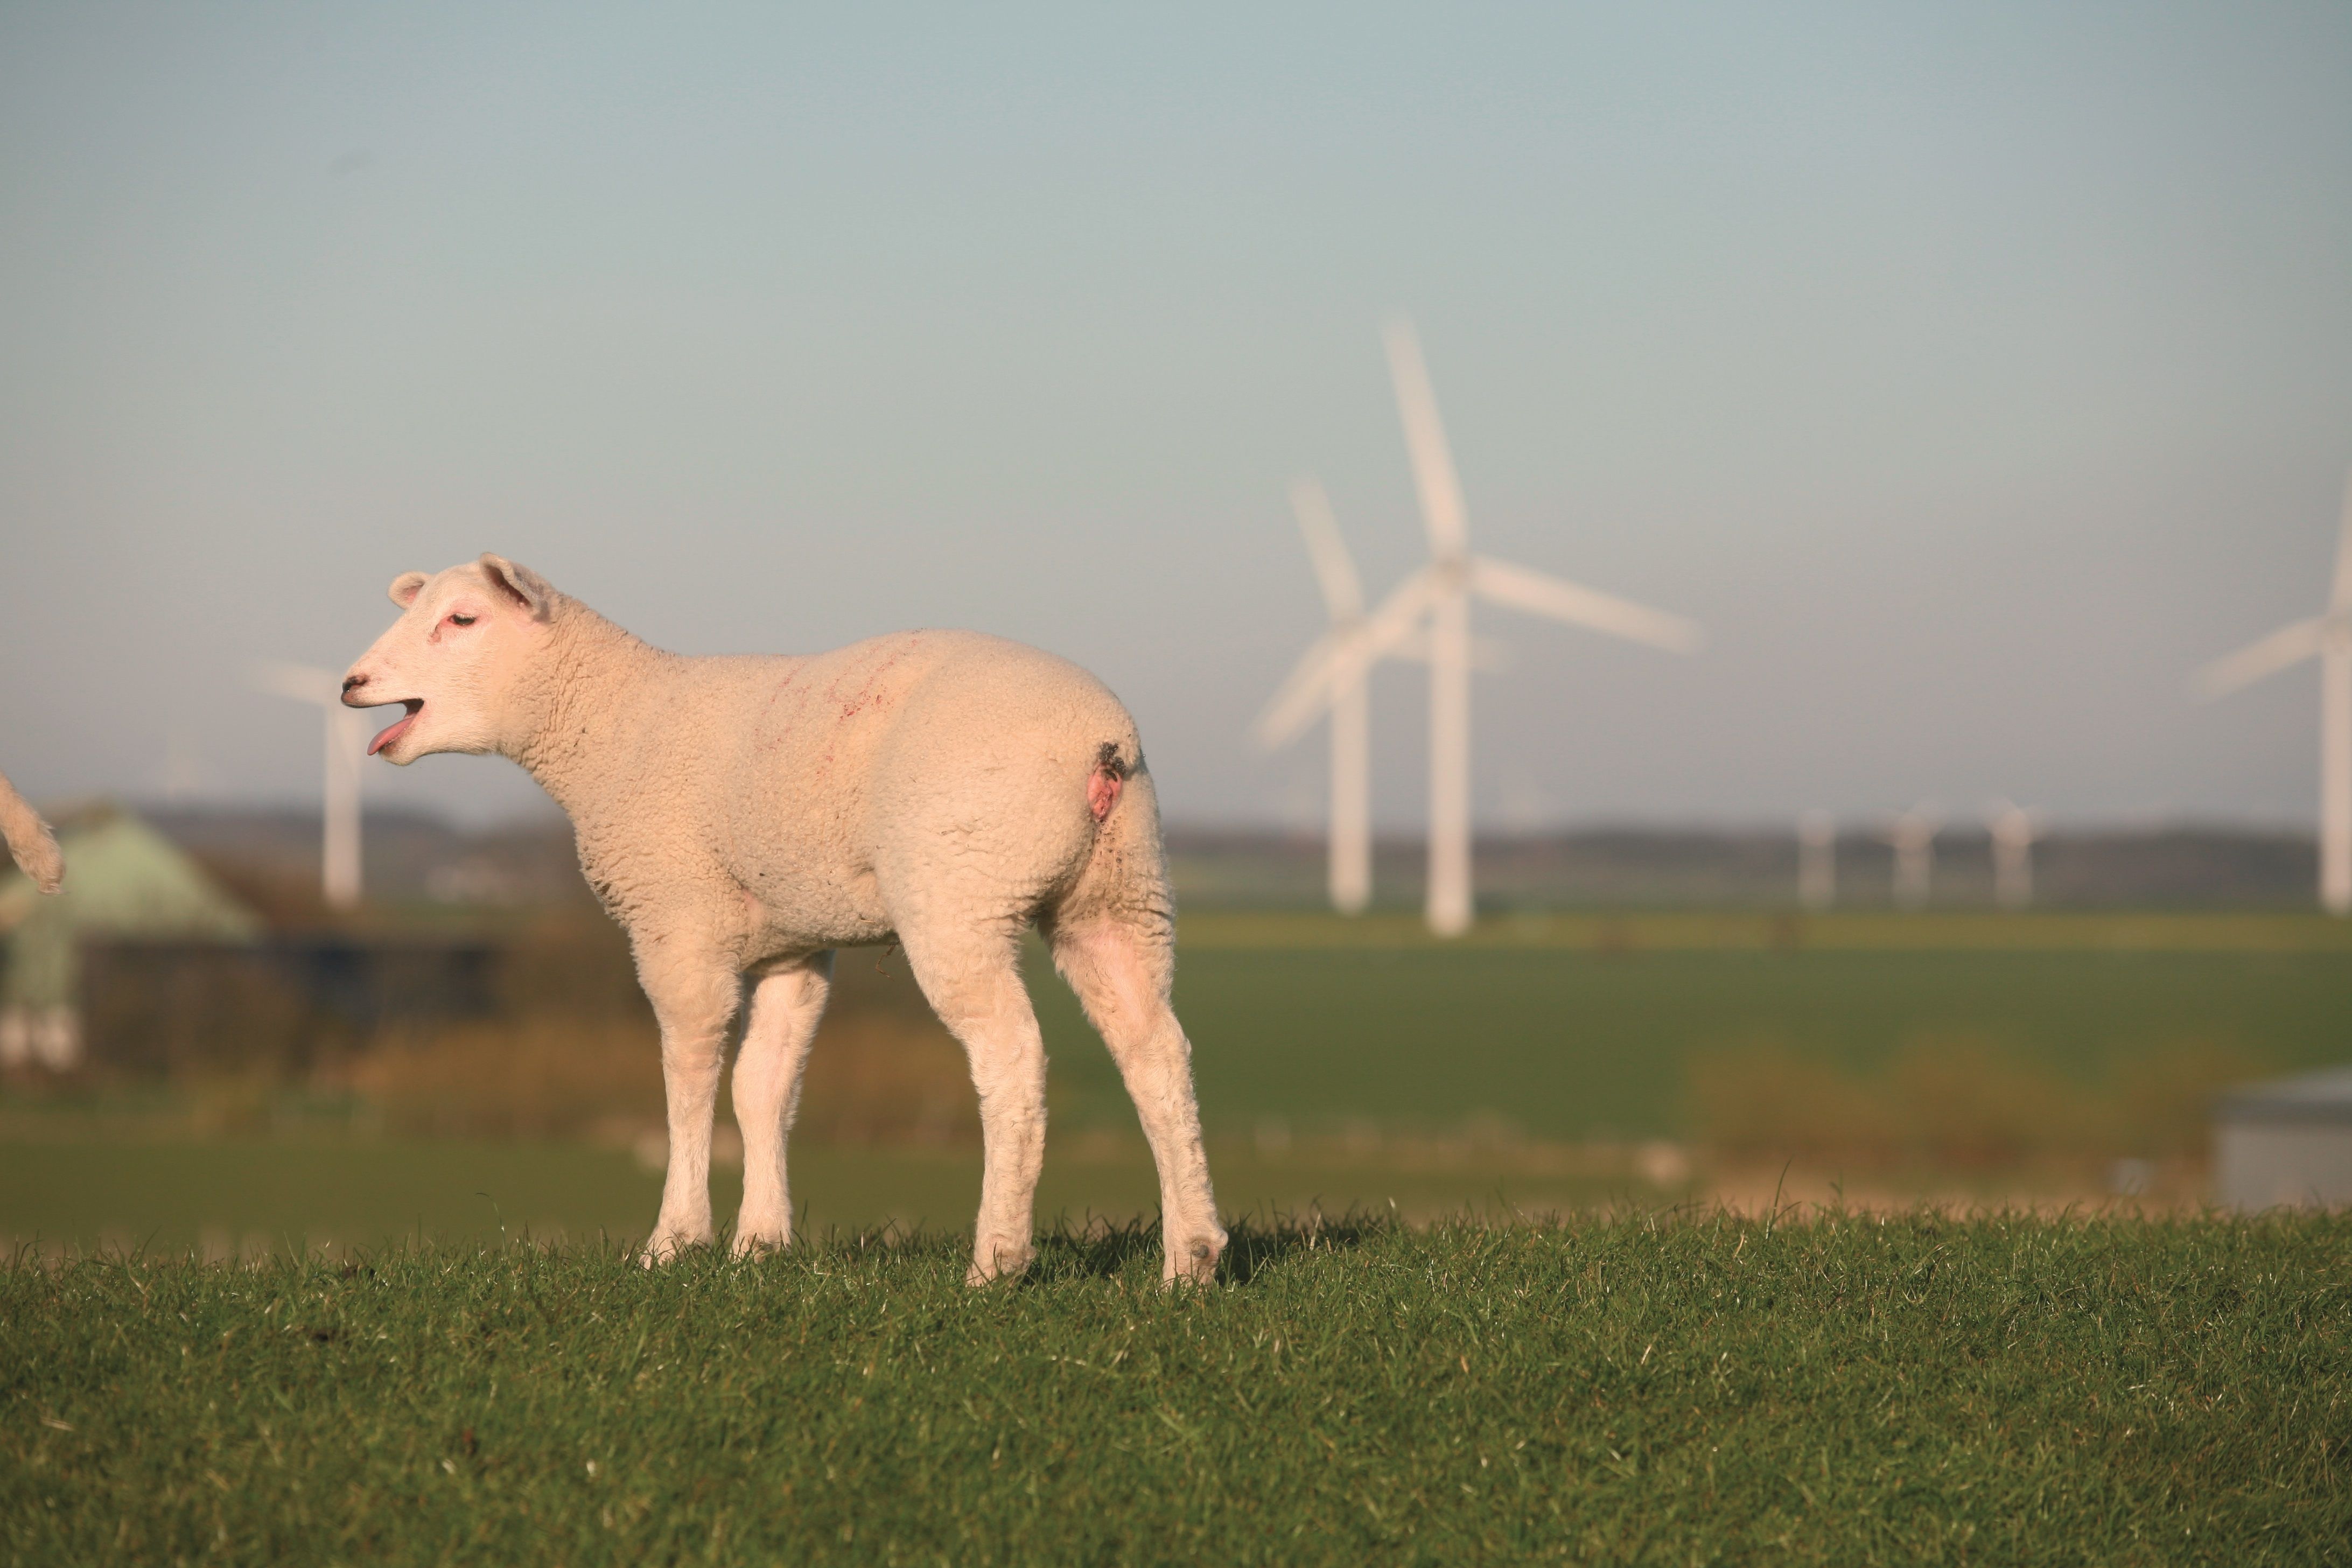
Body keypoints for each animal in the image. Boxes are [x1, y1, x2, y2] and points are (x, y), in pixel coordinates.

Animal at [342, 554, 1226, 1285]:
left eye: (463, 619)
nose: (351, 683)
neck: (613, 726)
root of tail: (1098, 744)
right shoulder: (793, 945)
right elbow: (763, 1087)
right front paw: (760, 1243)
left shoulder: (675, 920)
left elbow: (689, 1078)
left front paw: (674, 1242)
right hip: (1120, 896)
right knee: (1157, 1052)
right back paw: (1191, 1259)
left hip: (961, 888)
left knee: (1011, 1056)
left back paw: (996, 1261)